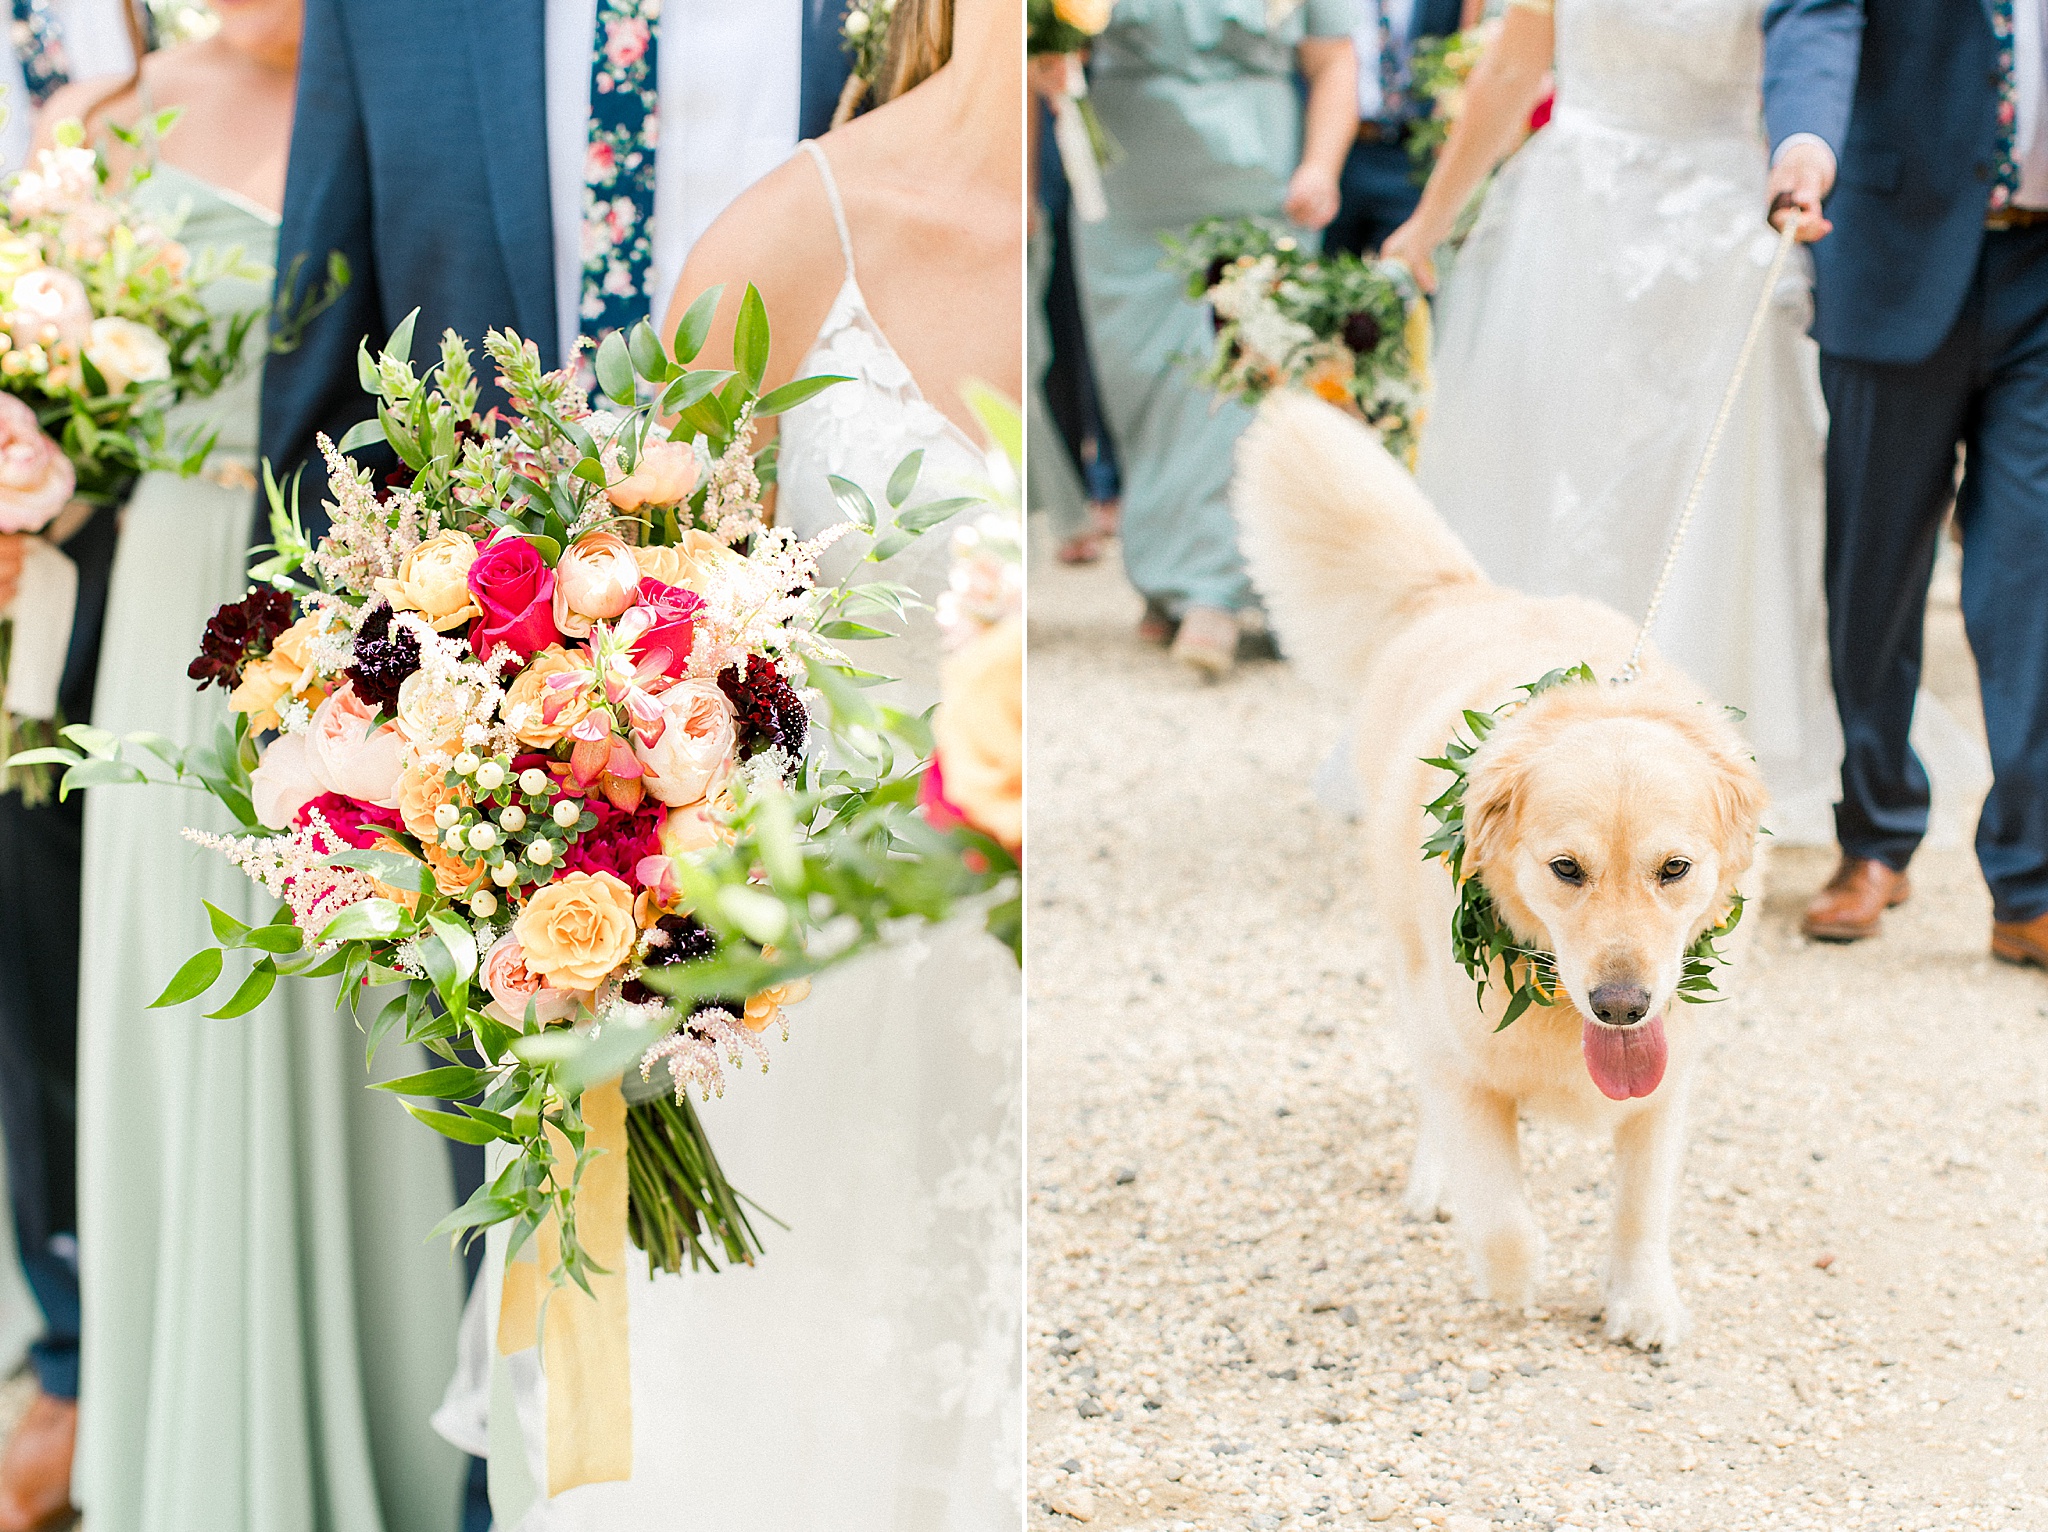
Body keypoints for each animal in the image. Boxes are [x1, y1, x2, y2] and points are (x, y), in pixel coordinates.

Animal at [1228, 397, 1761, 1351]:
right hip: (1408, 971)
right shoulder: (1465, 1063)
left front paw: (1642, 1301)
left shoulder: (1666, 1084)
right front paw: (1513, 1286)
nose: (1621, 1006)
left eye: (1674, 868)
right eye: (1565, 869)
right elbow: (1504, 1215)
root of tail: (1463, 594)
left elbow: (1642, 1207)